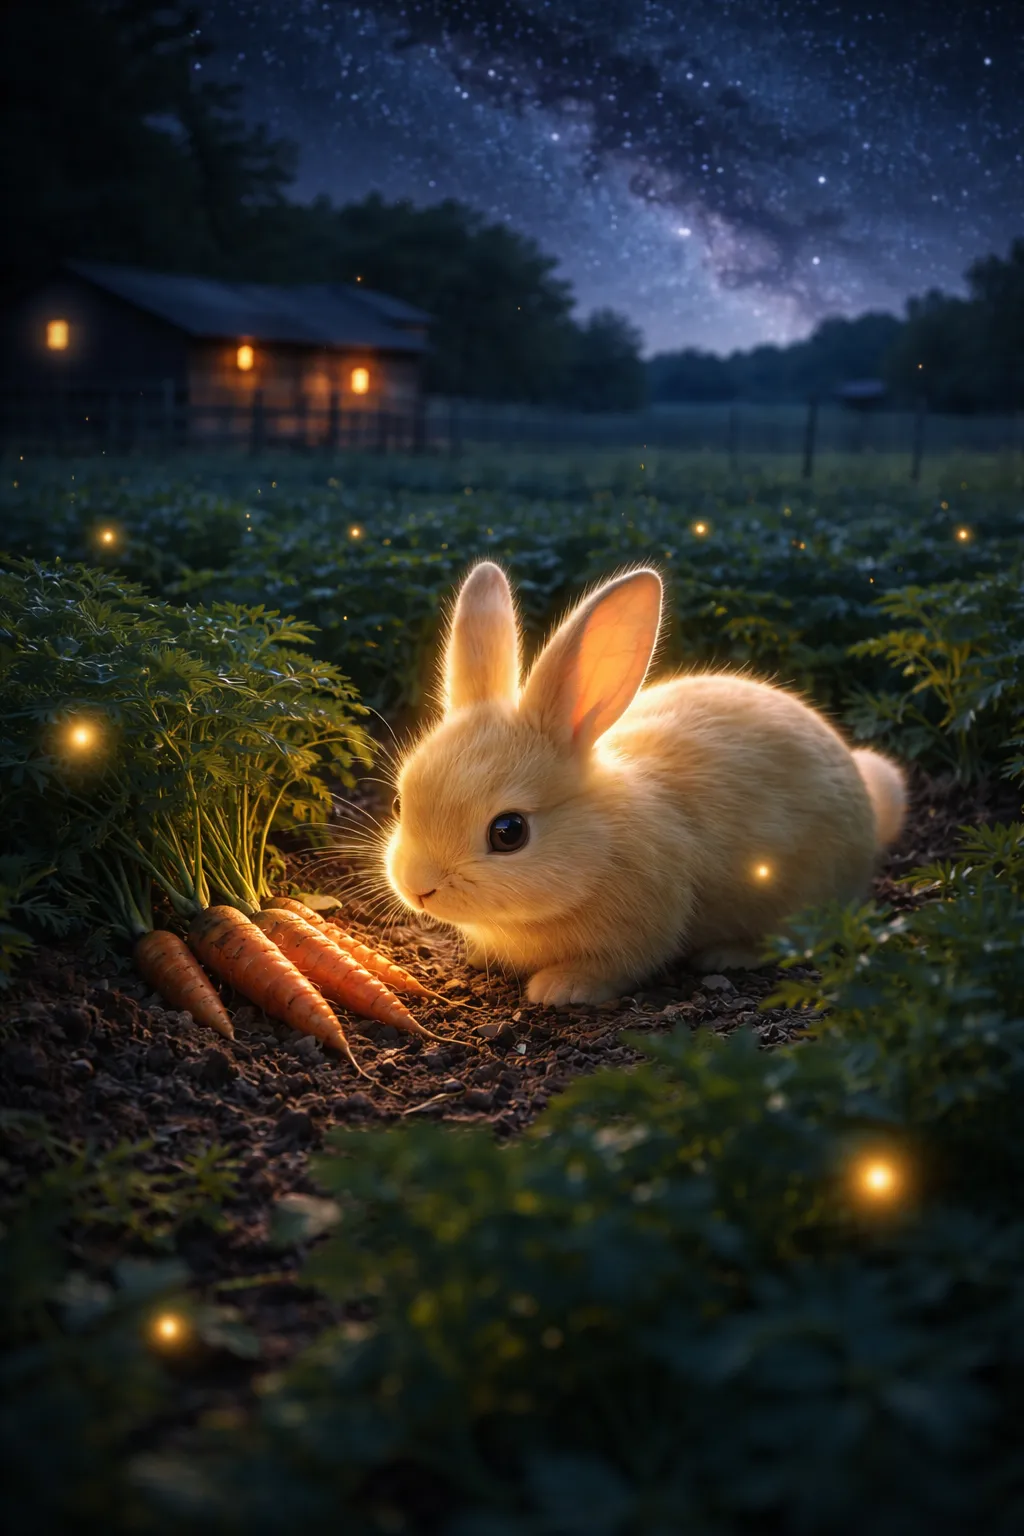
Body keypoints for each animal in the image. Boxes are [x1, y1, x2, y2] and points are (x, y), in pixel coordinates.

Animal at [385, 561, 907, 1007]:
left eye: (508, 832)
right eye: (398, 803)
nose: (418, 887)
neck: (598, 845)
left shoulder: (643, 929)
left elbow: (618, 967)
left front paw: (561, 988)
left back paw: (729, 955)